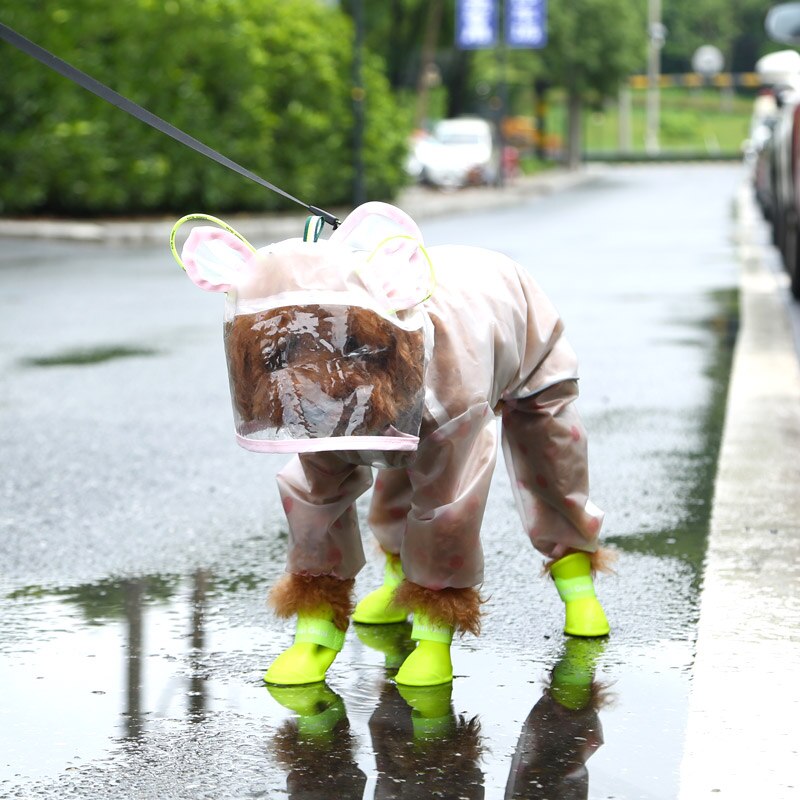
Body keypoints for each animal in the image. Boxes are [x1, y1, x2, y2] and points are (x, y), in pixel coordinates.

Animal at [177, 200, 612, 688]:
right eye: (277, 354)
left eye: (354, 346)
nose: (317, 408)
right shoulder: (321, 470)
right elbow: (319, 532)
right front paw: (309, 648)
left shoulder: (456, 447)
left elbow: (445, 531)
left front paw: (430, 652)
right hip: (405, 465)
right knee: (396, 519)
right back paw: (389, 600)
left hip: (543, 395)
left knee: (555, 488)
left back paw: (585, 607)